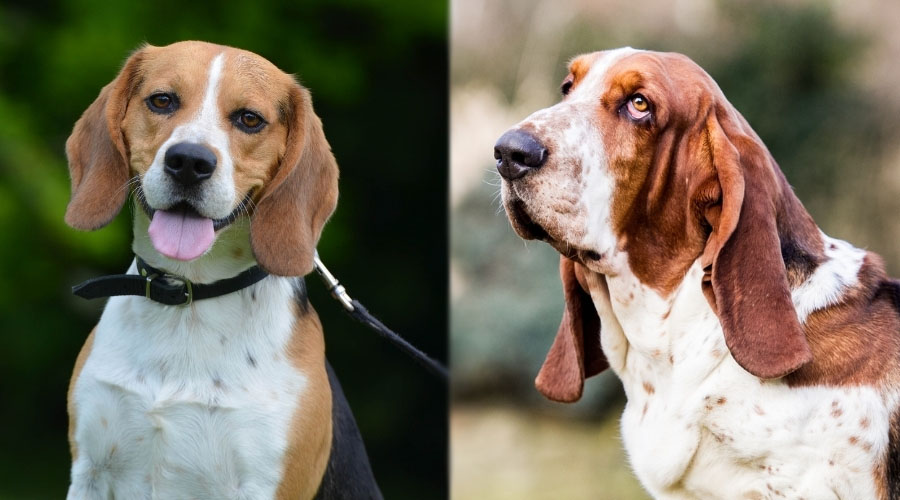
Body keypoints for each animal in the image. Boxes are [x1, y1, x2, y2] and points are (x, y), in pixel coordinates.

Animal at [60, 41, 384, 498]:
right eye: (162, 100)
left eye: (249, 119)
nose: (189, 161)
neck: (186, 296)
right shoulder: (89, 471)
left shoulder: (264, 486)